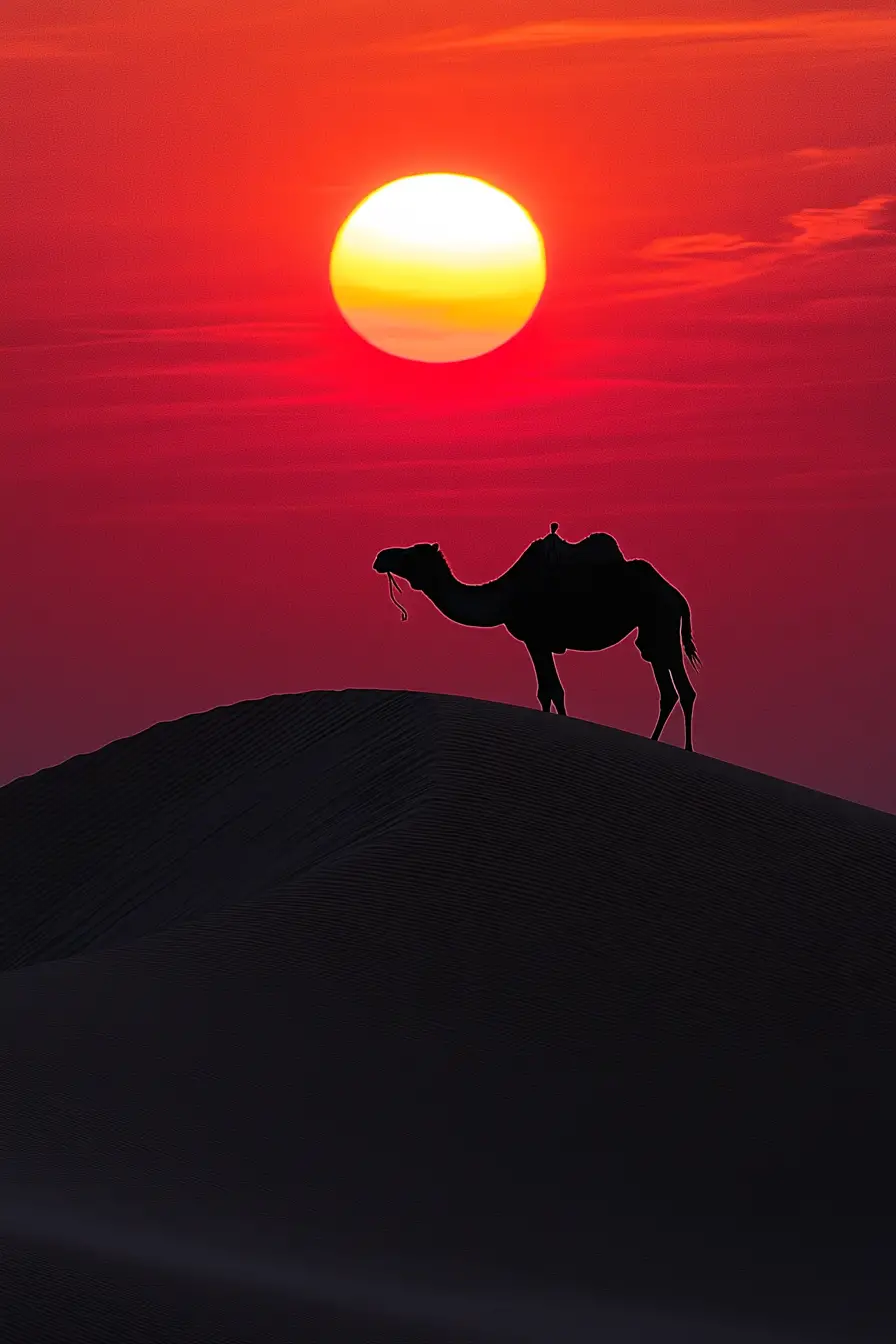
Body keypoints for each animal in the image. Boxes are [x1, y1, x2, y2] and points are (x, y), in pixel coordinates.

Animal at [372, 527, 702, 750]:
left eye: (410, 554)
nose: (380, 556)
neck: (506, 596)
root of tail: (678, 595)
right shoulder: (535, 644)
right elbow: (546, 692)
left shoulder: (538, 640)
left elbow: (554, 691)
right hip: (652, 632)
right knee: (668, 690)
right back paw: (656, 741)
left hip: (661, 620)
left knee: (684, 689)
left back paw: (686, 750)